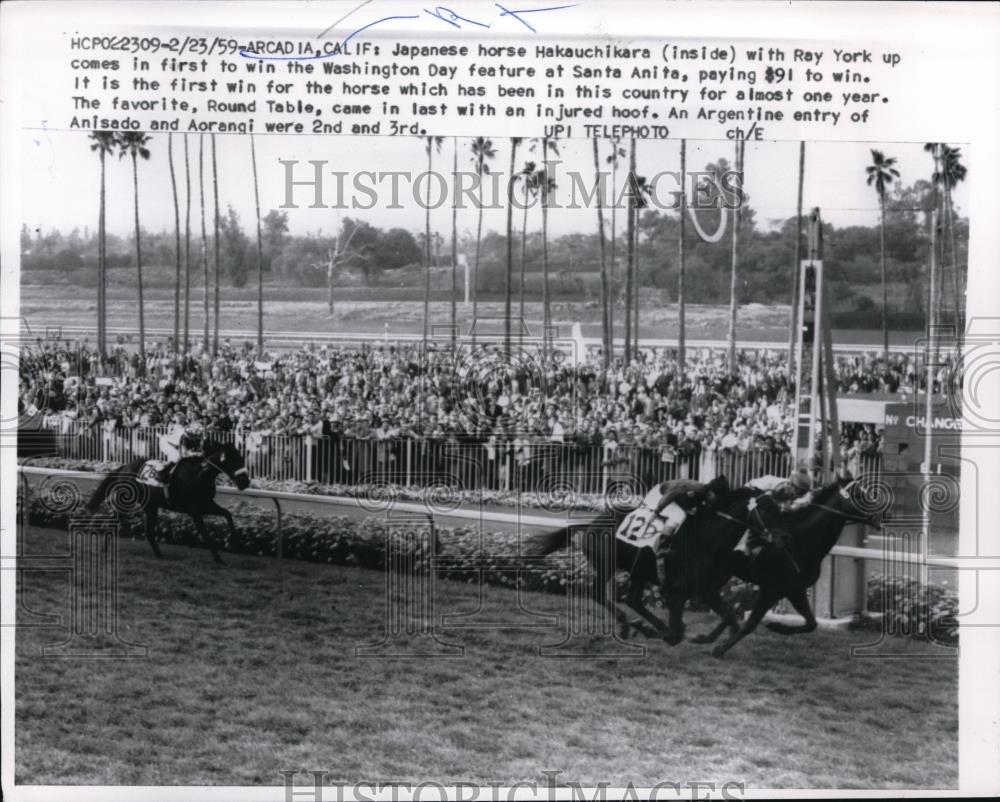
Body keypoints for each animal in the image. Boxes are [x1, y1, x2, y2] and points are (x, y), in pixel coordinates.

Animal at [84, 438, 252, 564]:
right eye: (233, 460)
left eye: (242, 459)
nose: (245, 482)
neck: (200, 475)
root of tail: (125, 466)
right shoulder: (194, 510)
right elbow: (205, 533)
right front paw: (218, 558)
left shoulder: (206, 504)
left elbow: (228, 514)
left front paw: (236, 543)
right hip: (126, 502)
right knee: (115, 521)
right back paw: (105, 549)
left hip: (151, 506)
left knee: (149, 531)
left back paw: (159, 554)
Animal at [668, 472, 880, 652]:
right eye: (859, 495)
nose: (880, 513)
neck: (801, 542)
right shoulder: (771, 589)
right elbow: (751, 624)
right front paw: (721, 649)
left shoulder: (795, 590)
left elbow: (812, 623)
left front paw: (777, 626)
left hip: (722, 571)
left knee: (715, 598)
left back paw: (707, 636)